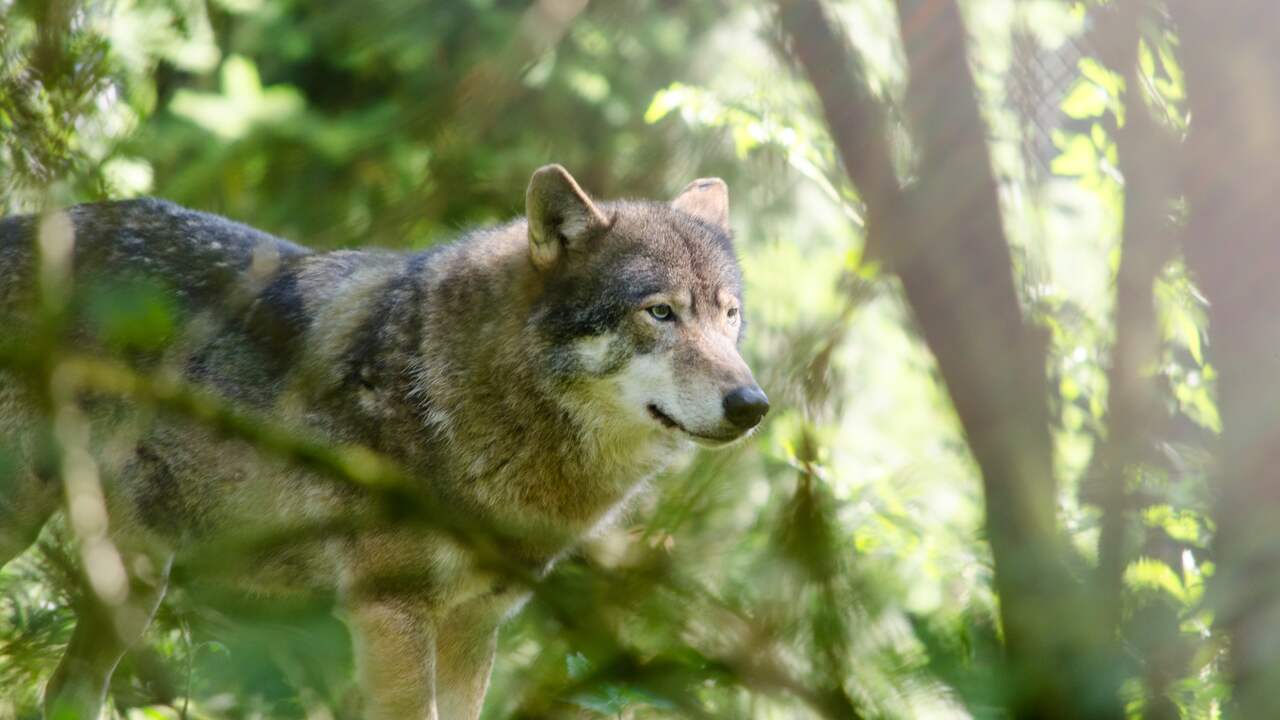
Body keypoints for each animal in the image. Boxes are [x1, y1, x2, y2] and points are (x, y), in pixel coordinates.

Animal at [0, 165, 768, 719]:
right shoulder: (391, 615)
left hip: (133, 581)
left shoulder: (474, 625)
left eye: (729, 317)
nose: (753, 405)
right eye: (660, 313)